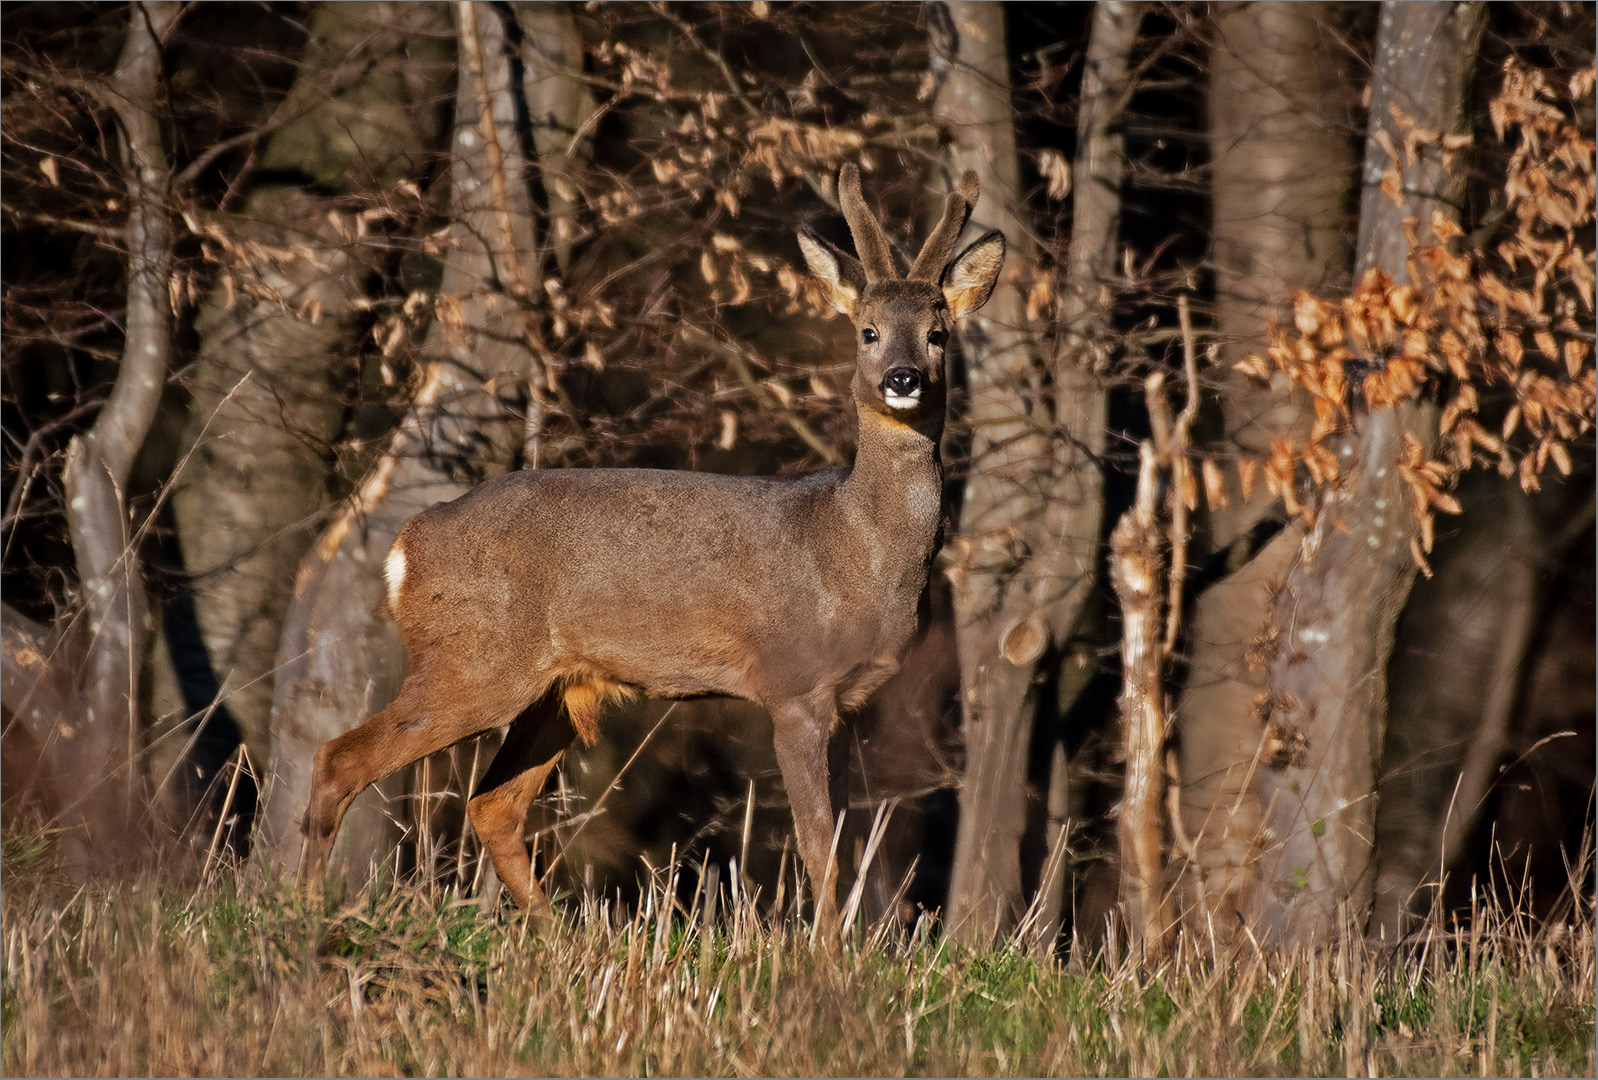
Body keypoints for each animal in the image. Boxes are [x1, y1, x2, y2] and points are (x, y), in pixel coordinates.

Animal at [298, 164, 997, 933]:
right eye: (867, 331)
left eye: (938, 333)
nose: (902, 379)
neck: (854, 547)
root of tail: (404, 549)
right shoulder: (793, 685)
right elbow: (818, 846)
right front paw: (825, 952)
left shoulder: (846, 702)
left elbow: (844, 841)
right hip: (474, 662)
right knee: (340, 758)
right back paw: (300, 906)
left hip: (551, 688)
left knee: (492, 805)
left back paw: (559, 937)